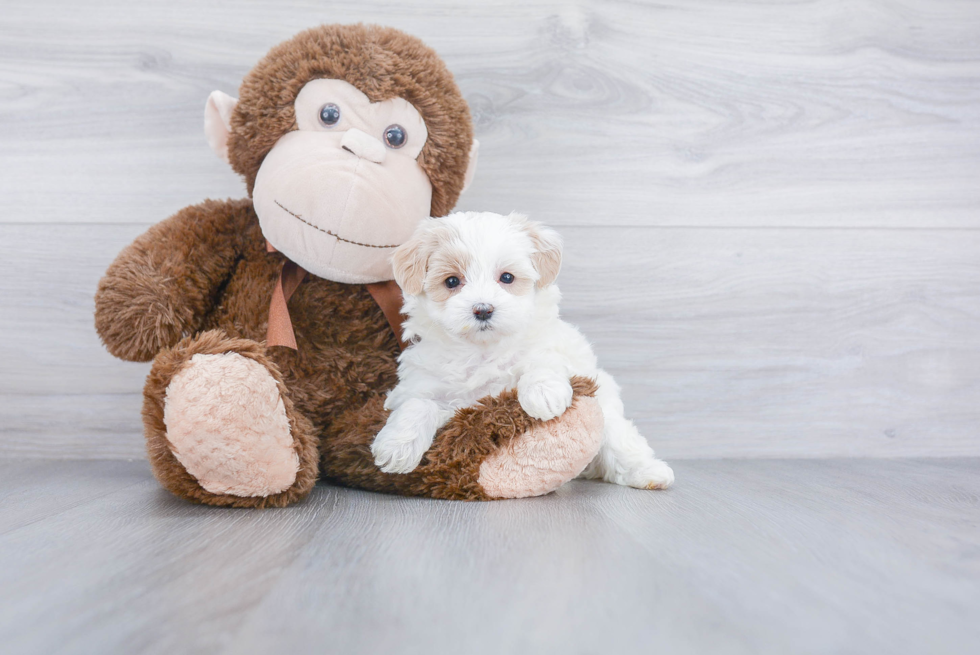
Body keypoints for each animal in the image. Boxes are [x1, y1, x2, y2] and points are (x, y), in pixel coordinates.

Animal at [370, 211, 672, 492]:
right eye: (452, 281)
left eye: (507, 277)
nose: (483, 309)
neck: (481, 350)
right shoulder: (425, 387)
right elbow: (418, 403)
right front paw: (397, 445)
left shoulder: (551, 350)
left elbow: (541, 360)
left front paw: (543, 394)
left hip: (608, 411)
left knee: (621, 442)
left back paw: (649, 472)